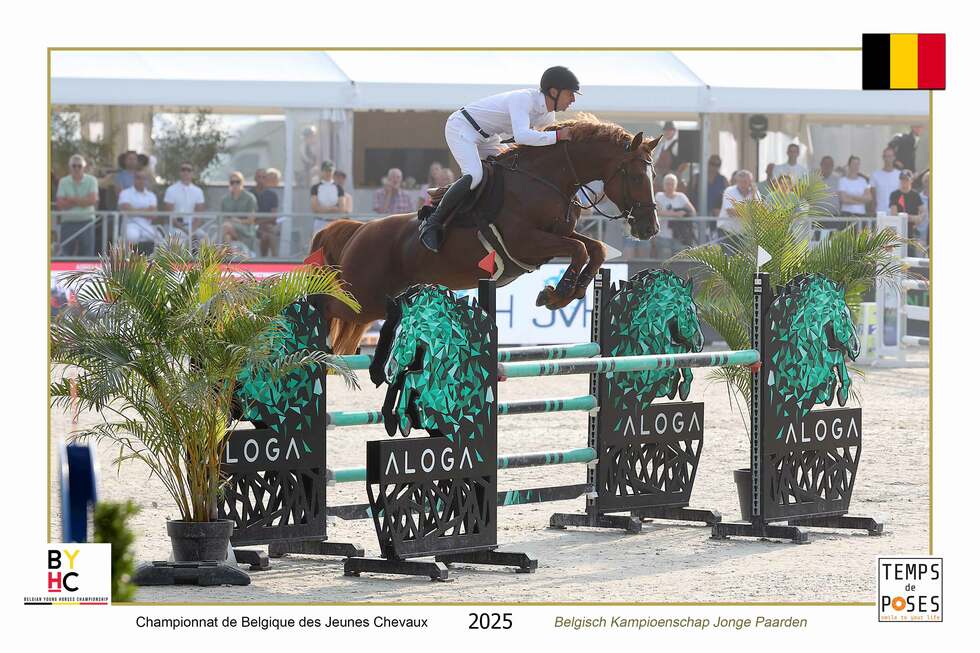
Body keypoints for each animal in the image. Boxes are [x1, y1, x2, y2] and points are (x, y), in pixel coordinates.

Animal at [309, 116, 663, 354]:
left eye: (654, 174)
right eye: (634, 175)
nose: (650, 228)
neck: (547, 179)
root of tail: (359, 229)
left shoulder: (558, 234)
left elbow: (594, 249)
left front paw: (570, 292)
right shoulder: (526, 241)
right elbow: (578, 249)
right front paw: (557, 293)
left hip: (378, 304)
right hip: (360, 295)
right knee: (326, 303)